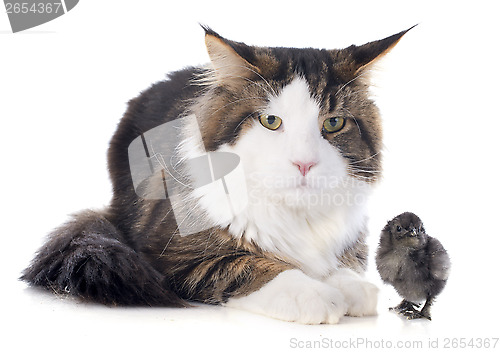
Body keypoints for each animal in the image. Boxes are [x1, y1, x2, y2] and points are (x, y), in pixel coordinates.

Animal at [22, 26, 410, 324]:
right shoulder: (168, 253)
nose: (304, 163)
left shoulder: (353, 238)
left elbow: (346, 267)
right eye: (271, 121)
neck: (295, 213)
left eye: (333, 123)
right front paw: (316, 294)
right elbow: (248, 266)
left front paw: (349, 285)